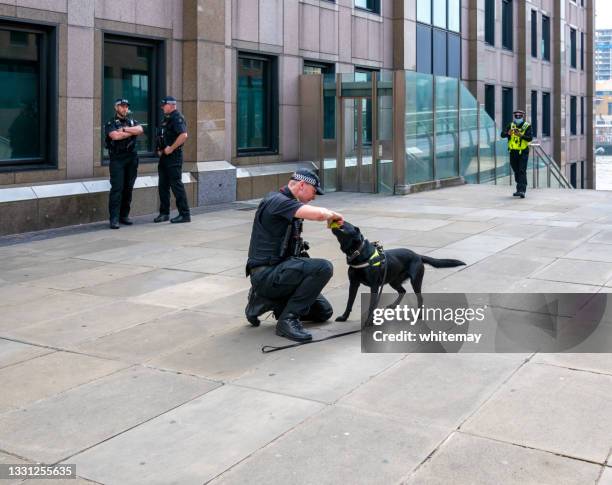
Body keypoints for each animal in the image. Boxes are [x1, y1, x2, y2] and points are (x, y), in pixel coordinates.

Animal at [332, 221, 466, 324]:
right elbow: (349, 302)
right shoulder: (353, 284)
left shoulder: (374, 286)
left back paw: (419, 315)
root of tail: (418, 255)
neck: (358, 253)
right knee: (403, 291)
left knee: (419, 297)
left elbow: (371, 305)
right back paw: (393, 305)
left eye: (343, 224)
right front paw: (344, 317)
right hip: (394, 281)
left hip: (415, 281)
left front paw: (369, 321)